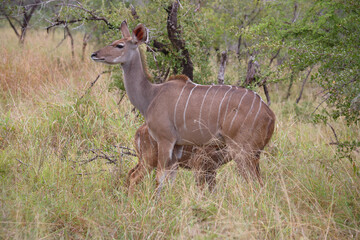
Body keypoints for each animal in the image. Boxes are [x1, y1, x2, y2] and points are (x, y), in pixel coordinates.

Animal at [90, 20, 276, 193]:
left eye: (119, 45)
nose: (94, 54)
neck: (151, 95)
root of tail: (270, 115)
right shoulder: (177, 147)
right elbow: (168, 180)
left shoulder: (166, 140)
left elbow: (160, 179)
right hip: (253, 154)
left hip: (242, 152)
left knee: (255, 184)